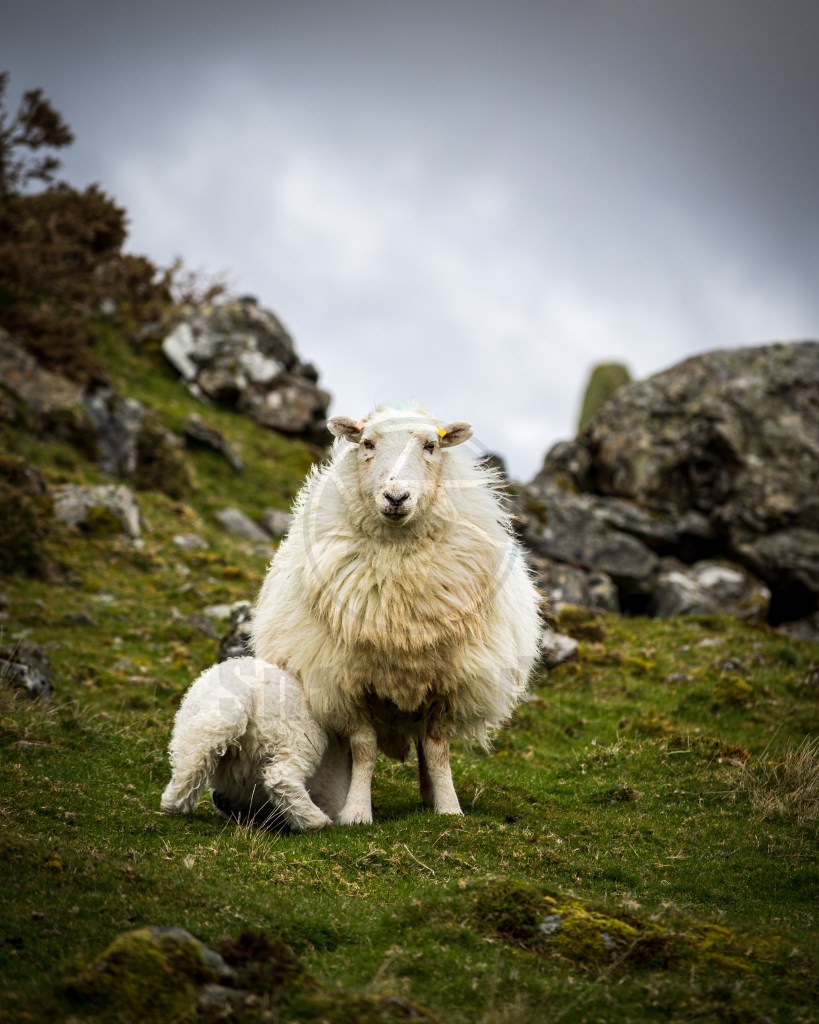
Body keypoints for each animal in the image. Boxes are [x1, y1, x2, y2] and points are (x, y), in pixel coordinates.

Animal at [160, 657, 351, 831]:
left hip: (197, 732)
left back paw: (172, 805)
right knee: (280, 776)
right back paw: (315, 821)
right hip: (298, 738)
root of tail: (243, 693)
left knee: (189, 767)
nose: (221, 801)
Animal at [251, 404, 542, 825]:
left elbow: (437, 750)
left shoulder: (450, 683)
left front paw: (449, 807)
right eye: (367, 443)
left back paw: (429, 794)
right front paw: (357, 811)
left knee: (423, 745)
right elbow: (365, 748)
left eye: (431, 445)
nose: (395, 496)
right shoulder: (346, 683)